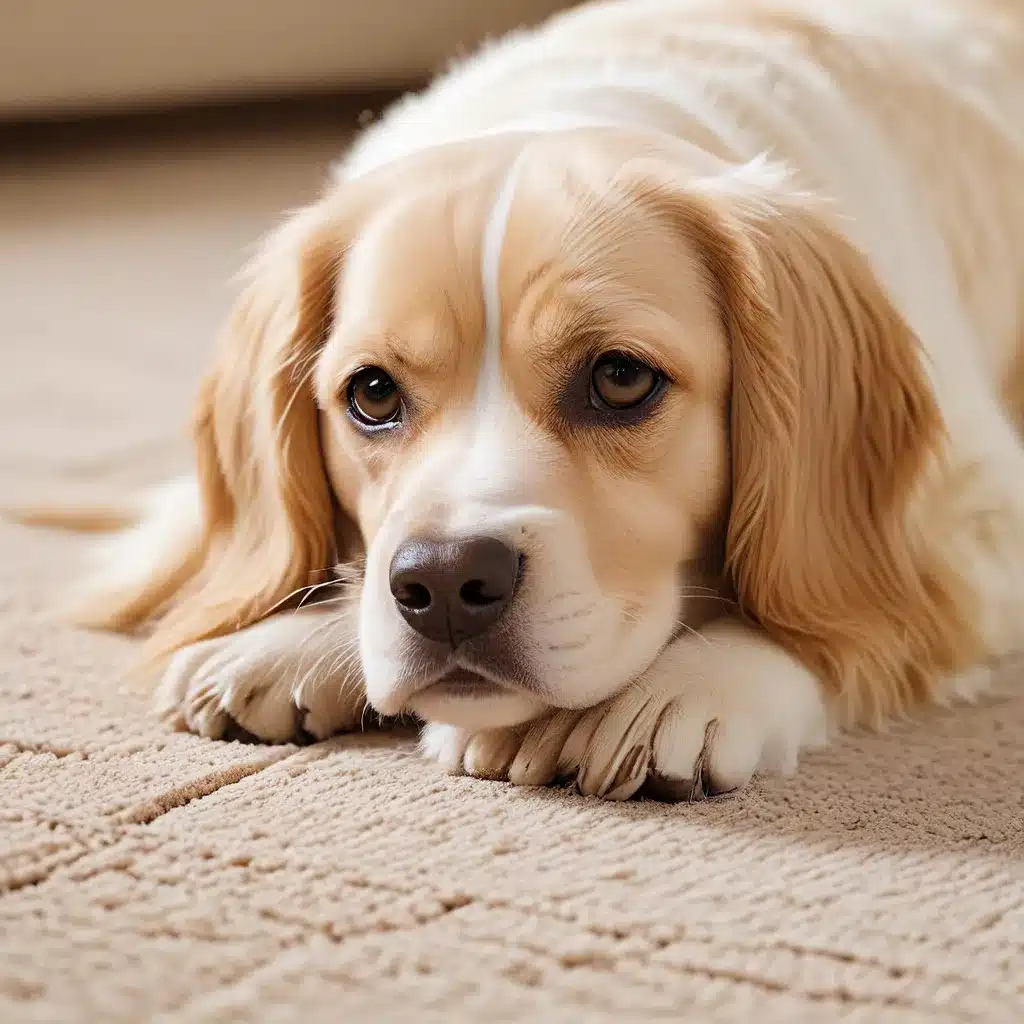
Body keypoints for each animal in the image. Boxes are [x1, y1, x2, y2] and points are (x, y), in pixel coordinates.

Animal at [29, 0, 1024, 798]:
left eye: (620, 378)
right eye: (372, 394)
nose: (442, 583)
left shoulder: (977, 509)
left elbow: (842, 615)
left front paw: (692, 685)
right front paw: (295, 637)